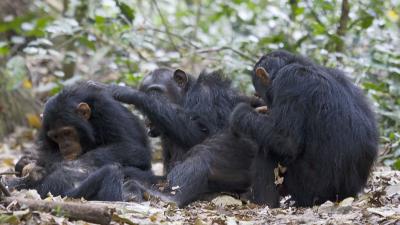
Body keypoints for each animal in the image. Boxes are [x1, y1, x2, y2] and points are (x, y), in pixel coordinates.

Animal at [9, 81, 154, 201]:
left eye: (67, 132)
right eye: (55, 136)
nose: (65, 145)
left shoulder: (108, 111)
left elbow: (134, 149)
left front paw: (71, 165)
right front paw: (26, 161)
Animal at [230, 50, 380, 207]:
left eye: (258, 93)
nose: (264, 102)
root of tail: (345, 195)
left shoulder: (289, 81)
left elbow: (287, 140)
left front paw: (241, 112)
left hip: (312, 191)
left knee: (267, 149)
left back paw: (264, 202)